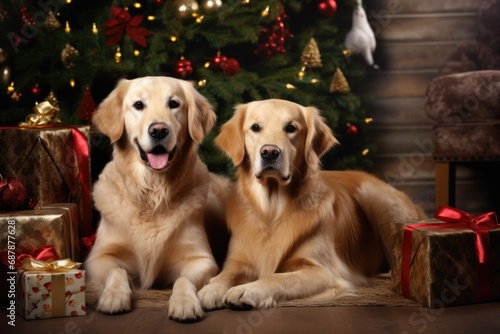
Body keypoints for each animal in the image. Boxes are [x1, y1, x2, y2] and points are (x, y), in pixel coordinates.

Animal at [85, 77, 229, 322]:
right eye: (138, 105)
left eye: (173, 104)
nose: (159, 130)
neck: (153, 193)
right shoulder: (98, 257)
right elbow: (117, 270)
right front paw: (113, 296)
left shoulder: (201, 259)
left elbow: (183, 278)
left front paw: (184, 302)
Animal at [197, 98, 424, 310]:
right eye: (255, 127)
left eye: (291, 128)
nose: (269, 152)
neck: (272, 212)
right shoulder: (238, 260)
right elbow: (225, 274)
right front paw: (211, 289)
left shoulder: (324, 271)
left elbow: (276, 277)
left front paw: (247, 290)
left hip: (375, 196)